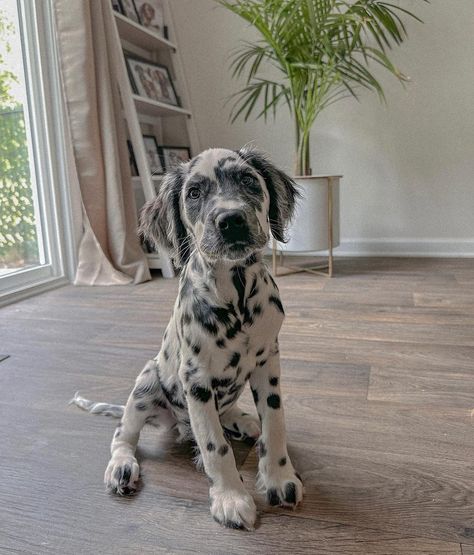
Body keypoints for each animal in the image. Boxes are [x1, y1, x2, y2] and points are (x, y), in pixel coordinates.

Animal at [73, 147, 304, 528]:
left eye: (248, 180)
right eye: (194, 193)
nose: (231, 220)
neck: (237, 297)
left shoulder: (268, 363)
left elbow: (275, 425)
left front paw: (279, 478)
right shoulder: (195, 379)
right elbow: (214, 446)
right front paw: (230, 497)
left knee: (229, 415)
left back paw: (242, 421)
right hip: (146, 381)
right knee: (123, 434)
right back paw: (121, 466)